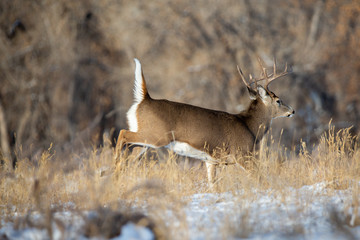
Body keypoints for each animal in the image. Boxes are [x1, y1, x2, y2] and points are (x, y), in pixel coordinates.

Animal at [115, 58, 296, 186]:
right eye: (278, 100)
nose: (292, 111)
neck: (250, 127)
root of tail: (144, 100)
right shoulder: (243, 154)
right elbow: (260, 178)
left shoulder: (211, 161)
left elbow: (213, 185)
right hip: (157, 136)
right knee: (123, 134)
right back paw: (114, 167)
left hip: (145, 142)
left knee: (130, 152)